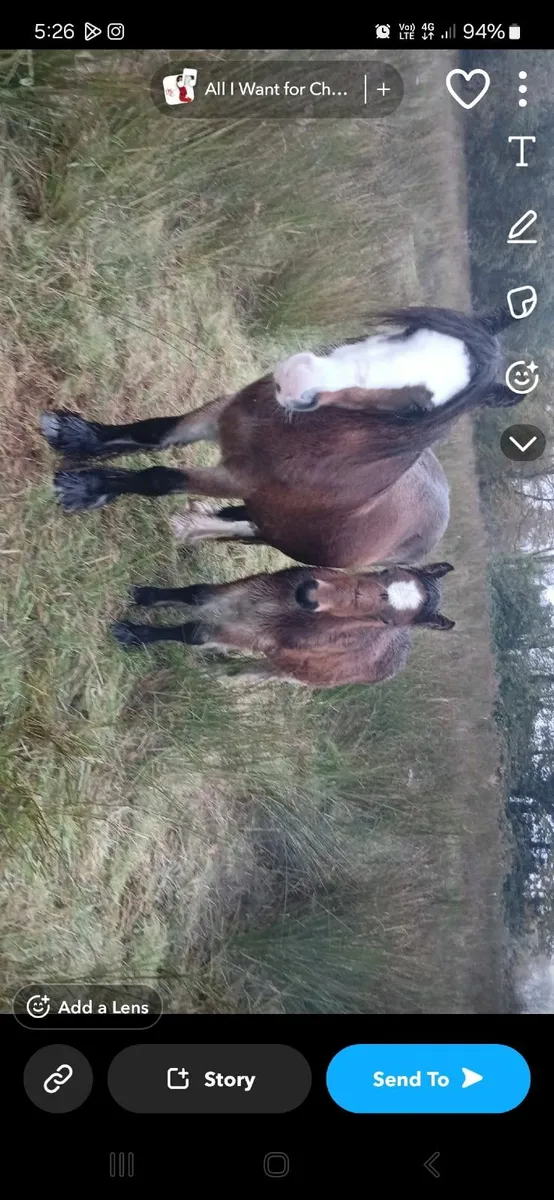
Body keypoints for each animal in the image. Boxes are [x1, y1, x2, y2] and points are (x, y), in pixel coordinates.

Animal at [41, 305, 520, 569]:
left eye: (417, 410)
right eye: (408, 330)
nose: (297, 378)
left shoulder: (236, 477)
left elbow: (159, 477)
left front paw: (85, 488)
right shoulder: (218, 415)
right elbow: (154, 432)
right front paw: (77, 437)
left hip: (289, 539)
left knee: (250, 528)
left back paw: (193, 529)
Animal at [111, 561, 455, 689]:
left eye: (385, 620)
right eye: (385, 571)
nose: (308, 593)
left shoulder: (256, 637)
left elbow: (196, 632)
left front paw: (130, 633)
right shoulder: (253, 589)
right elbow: (198, 593)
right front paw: (144, 596)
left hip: (283, 670)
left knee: (244, 673)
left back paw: (206, 674)